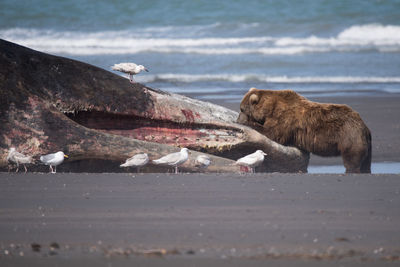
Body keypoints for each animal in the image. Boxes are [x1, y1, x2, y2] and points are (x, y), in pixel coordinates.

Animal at [238, 88, 372, 174]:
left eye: (242, 109)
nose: (238, 118)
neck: (270, 108)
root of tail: (364, 125)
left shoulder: (285, 118)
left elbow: (273, 133)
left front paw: (247, 123)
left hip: (349, 135)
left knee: (352, 157)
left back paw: (350, 170)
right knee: (366, 162)